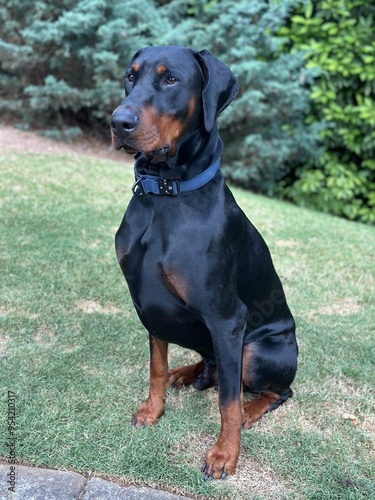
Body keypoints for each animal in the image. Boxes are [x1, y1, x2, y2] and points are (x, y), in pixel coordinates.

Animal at [110, 47, 298, 480]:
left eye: (171, 80)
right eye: (131, 76)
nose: (118, 122)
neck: (166, 196)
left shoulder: (227, 319)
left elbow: (227, 401)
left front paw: (225, 454)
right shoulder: (148, 304)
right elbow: (156, 366)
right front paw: (153, 409)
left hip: (259, 350)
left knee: (274, 390)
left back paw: (251, 409)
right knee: (210, 367)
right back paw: (186, 373)